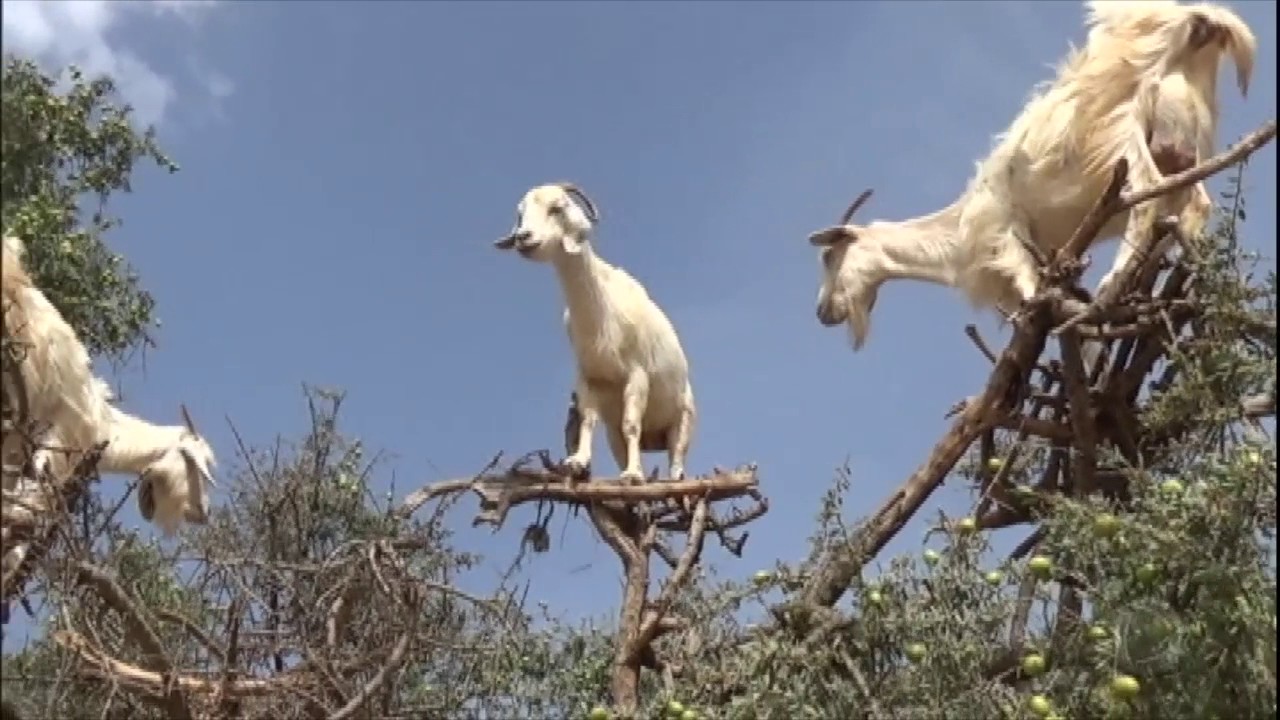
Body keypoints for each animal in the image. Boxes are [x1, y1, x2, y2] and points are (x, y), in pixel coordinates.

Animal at [494, 183, 696, 483]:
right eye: (521, 213)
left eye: (557, 208)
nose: (523, 238)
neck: (604, 313)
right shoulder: (588, 376)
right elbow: (589, 420)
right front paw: (577, 462)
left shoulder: (637, 374)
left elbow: (631, 423)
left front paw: (632, 476)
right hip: (616, 437)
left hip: (682, 422)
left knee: (676, 458)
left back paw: (666, 478)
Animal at [807, 0, 1254, 352]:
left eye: (830, 256)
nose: (821, 311)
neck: (960, 225)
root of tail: (1196, 20)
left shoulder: (1005, 228)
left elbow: (1027, 286)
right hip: (1184, 141)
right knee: (1194, 204)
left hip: (1118, 131)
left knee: (1147, 196)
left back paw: (1111, 289)